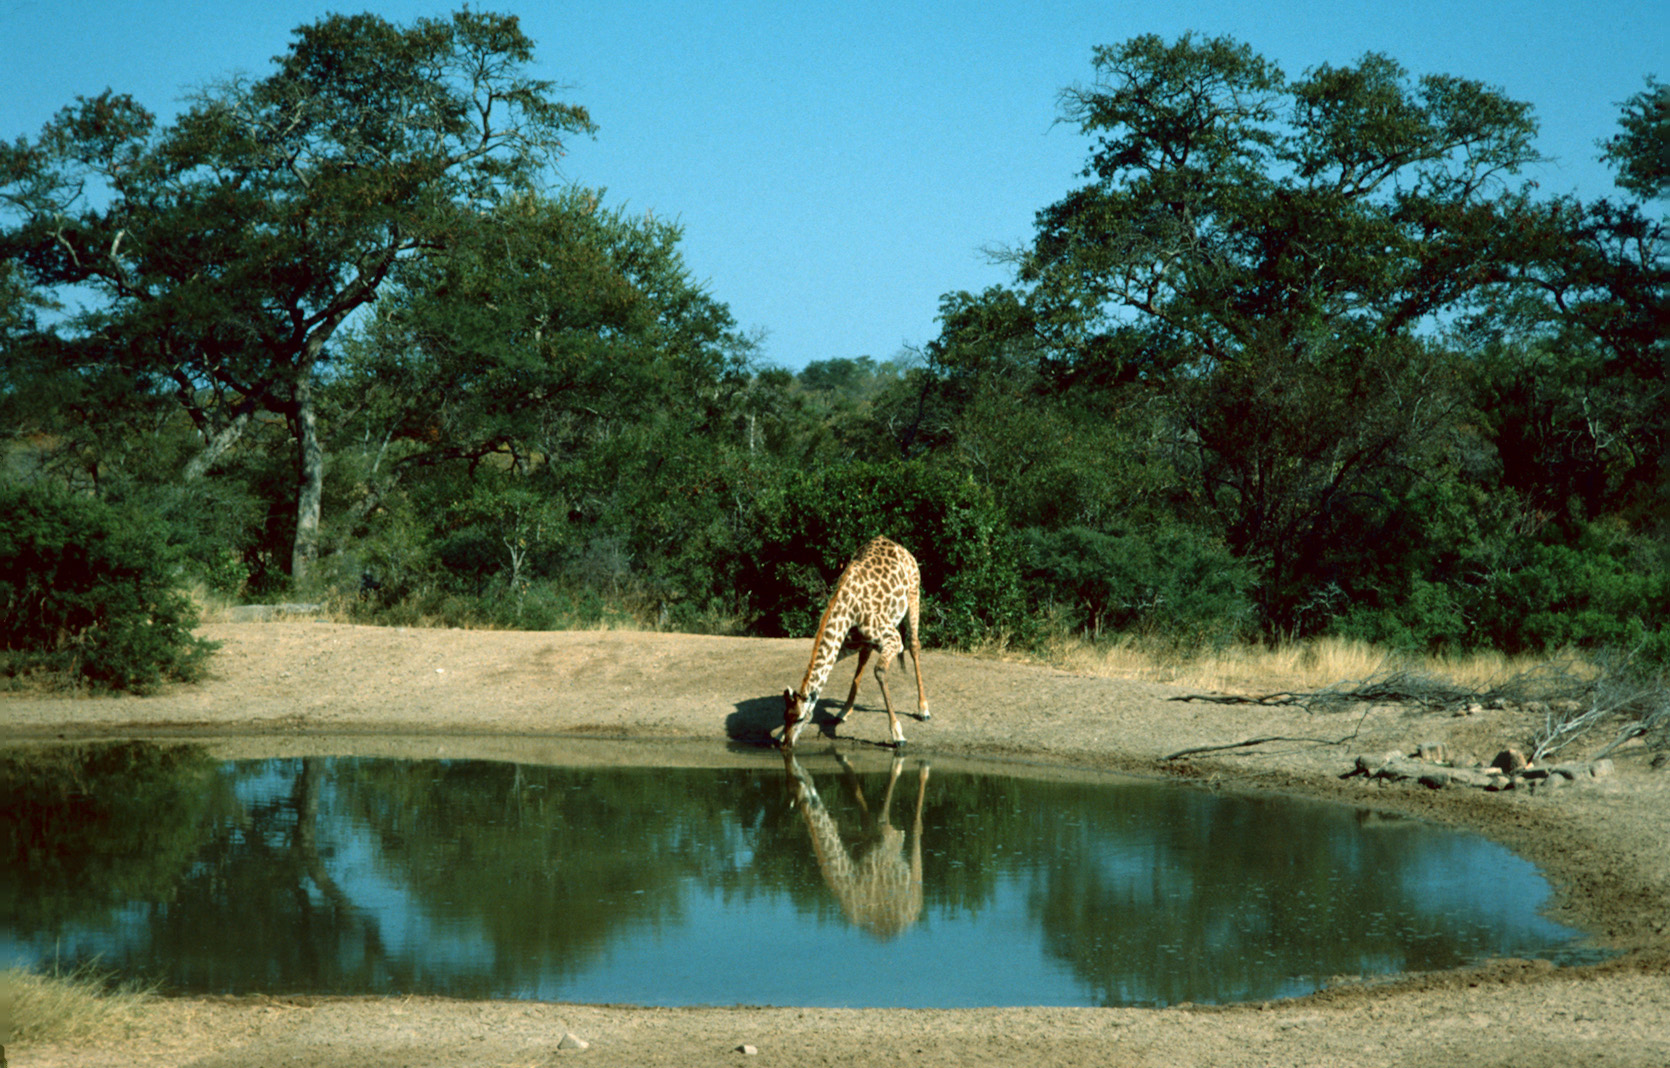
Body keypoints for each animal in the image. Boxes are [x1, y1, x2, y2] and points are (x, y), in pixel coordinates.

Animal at [778, 534, 928, 750]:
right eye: (785, 716)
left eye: (800, 718)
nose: (787, 744)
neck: (847, 610)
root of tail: (897, 545)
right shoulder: (846, 643)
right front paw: (779, 734)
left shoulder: (893, 639)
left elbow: (880, 671)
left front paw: (897, 734)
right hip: (864, 639)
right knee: (864, 657)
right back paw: (843, 711)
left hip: (914, 593)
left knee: (914, 645)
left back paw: (923, 709)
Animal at [778, 747, 928, 941]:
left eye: (797, 778)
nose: (795, 767)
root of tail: (912, 914)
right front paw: (843, 758)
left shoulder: (889, 840)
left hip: (911, 877)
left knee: (916, 829)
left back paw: (923, 767)